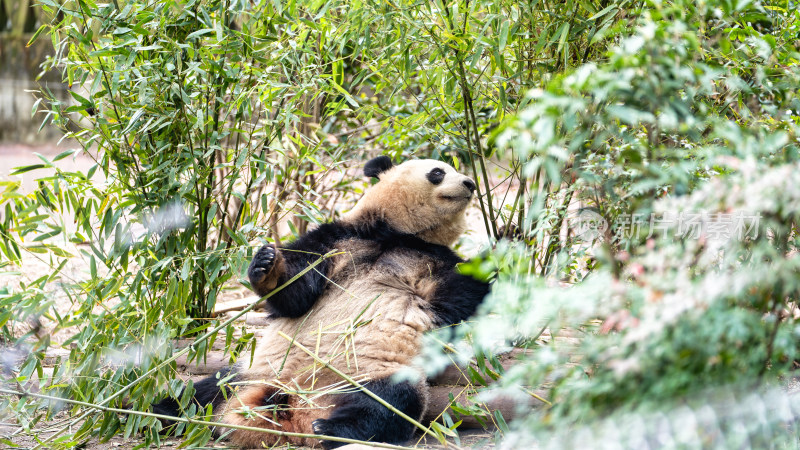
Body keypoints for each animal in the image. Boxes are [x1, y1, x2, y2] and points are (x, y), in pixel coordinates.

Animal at [150, 156, 488, 448]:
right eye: (438, 172)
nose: (470, 183)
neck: (402, 236)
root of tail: (295, 406)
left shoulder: (437, 262)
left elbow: (458, 301)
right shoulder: (342, 237)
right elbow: (295, 291)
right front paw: (266, 266)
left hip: (372, 372)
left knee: (389, 403)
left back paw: (333, 428)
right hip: (253, 371)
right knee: (204, 392)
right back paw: (161, 413)